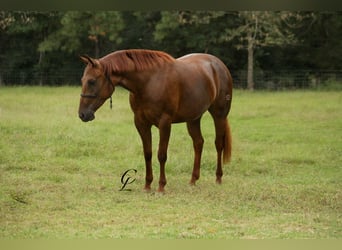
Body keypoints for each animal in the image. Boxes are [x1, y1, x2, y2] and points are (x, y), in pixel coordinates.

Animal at [78, 49, 232, 193]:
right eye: (82, 80)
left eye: (92, 81)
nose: (82, 114)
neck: (149, 82)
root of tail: (219, 65)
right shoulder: (141, 123)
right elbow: (148, 153)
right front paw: (147, 185)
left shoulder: (165, 123)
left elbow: (161, 155)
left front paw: (161, 186)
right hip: (193, 118)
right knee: (198, 143)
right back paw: (193, 180)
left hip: (219, 115)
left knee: (219, 144)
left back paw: (218, 178)